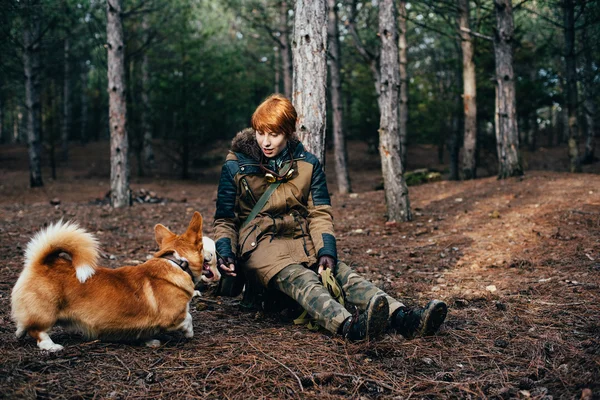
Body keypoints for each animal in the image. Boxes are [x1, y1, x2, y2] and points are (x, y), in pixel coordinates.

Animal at [11, 212, 209, 350]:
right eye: (203, 247)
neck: (177, 263)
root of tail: (41, 262)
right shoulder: (173, 316)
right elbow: (188, 317)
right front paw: (189, 333)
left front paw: (150, 341)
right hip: (48, 313)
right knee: (38, 331)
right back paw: (51, 346)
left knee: (23, 323)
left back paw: (19, 332)